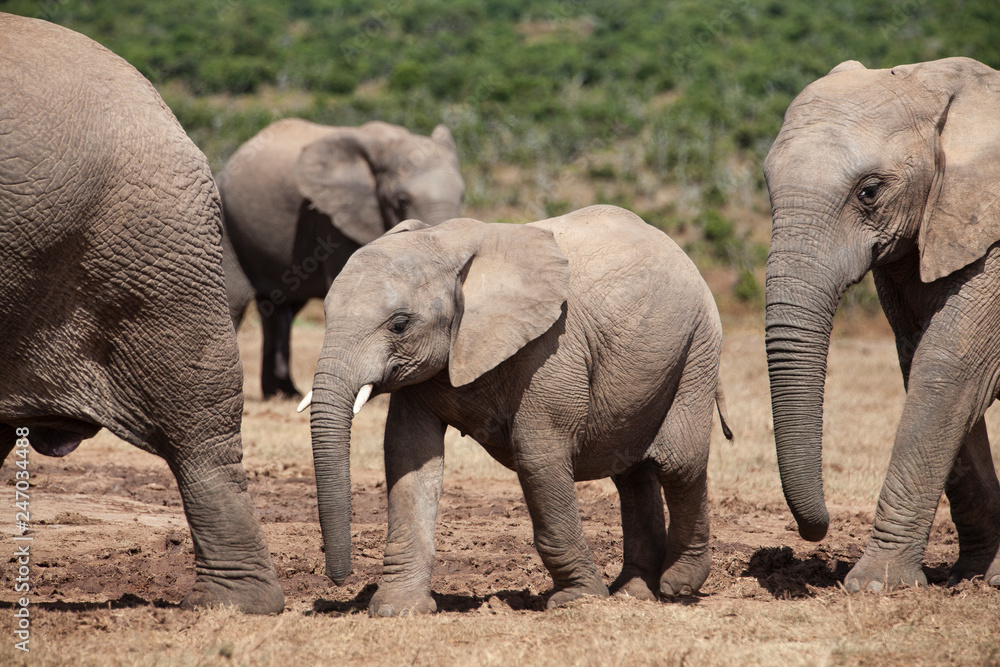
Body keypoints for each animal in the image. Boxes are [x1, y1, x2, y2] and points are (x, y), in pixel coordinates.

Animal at [217, 118, 465, 398]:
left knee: (281, 309)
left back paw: (283, 394)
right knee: (235, 300)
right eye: (401, 201)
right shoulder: (331, 221)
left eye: (463, 196)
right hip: (228, 224)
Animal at [299, 205, 733, 616]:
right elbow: (409, 456)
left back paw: (679, 584)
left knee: (678, 462)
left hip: (698, 343)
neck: (446, 243)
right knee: (630, 471)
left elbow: (537, 454)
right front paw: (397, 609)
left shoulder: (552, 347)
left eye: (400, 325)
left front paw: (577, 600)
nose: (339, 580)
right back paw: (634, 592)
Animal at [764, 57, 1000, 592]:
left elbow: (950, 368)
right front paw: (974, 574)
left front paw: (875, 586)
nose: (818, 530)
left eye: (869, 193)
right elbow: (921, 362)